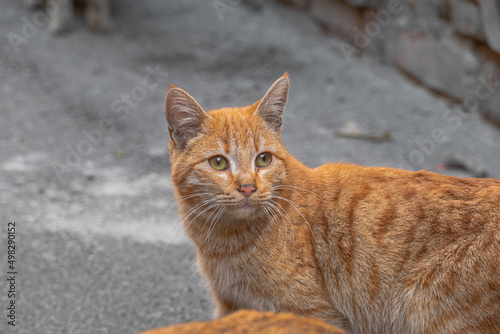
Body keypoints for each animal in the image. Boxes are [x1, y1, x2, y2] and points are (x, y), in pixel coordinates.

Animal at [164, 74, 500, 332]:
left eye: (263, 159)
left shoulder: (312, 313)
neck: (227, 242)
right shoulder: (232, 308)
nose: (248, 187)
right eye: (218, 163)